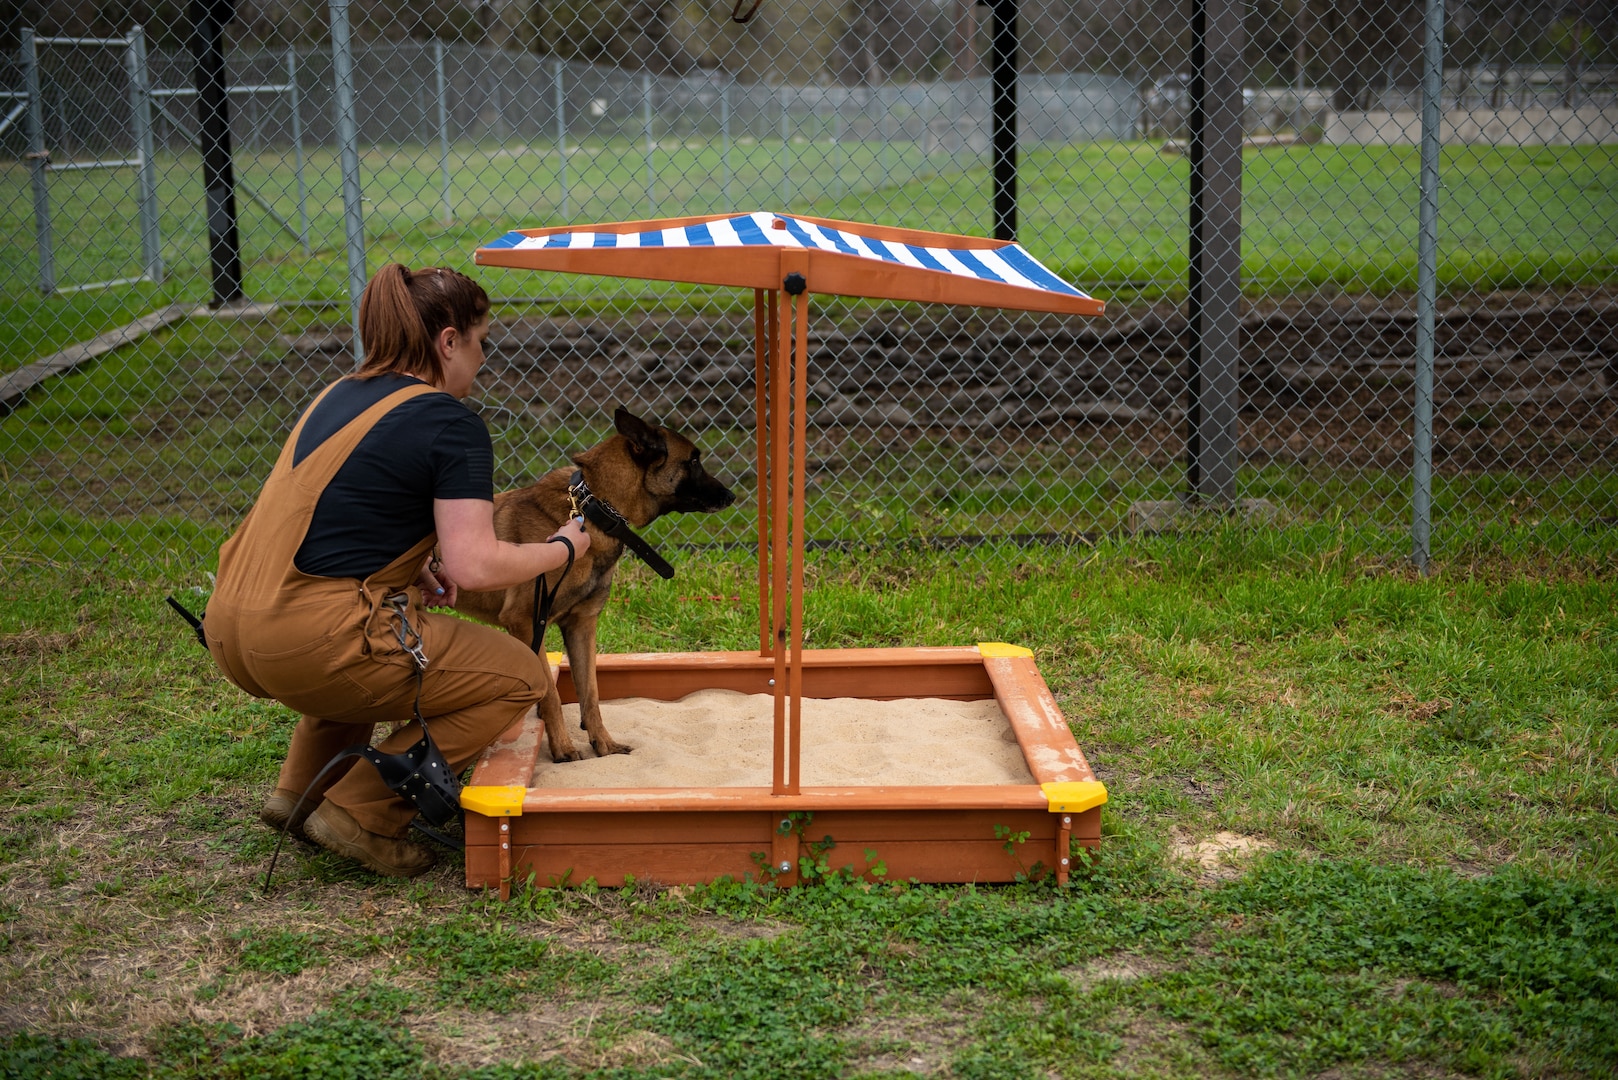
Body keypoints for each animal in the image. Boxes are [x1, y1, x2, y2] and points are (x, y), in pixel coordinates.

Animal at [453, 409, 737, 764]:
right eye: (694, 460)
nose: (732, 496)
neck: (593, 509)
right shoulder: (526, 622)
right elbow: (551, 695)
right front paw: (563, 749)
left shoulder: (581, 625)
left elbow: (591, 693)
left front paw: (603, 744)